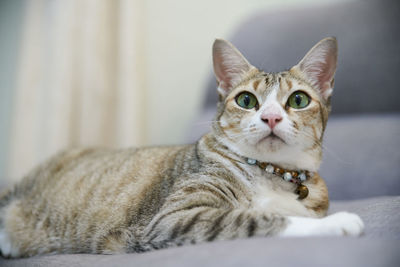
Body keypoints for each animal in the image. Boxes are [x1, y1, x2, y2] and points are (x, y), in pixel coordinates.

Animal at [0, 36, 362, 258]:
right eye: (247, 100)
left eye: (298, 100)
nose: (271, 117)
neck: (273, 173)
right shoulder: (174, 218)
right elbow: (261, 218)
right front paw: (337, 223)